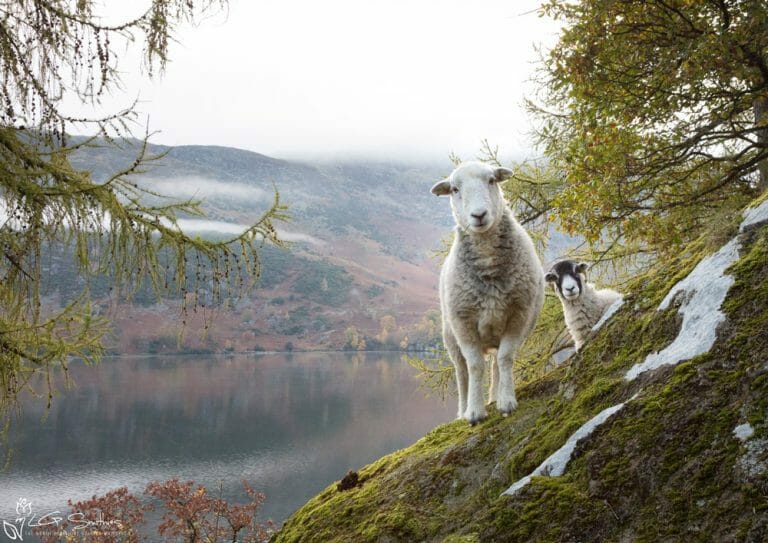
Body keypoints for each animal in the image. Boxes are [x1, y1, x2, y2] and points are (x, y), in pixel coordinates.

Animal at [431, 161, 545, 424]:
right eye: (454, 189)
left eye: (492, 180)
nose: (479, 215)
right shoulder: (464, 322)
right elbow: (474, 367)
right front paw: (474, 411)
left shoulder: (518, 315)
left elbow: (505, 359)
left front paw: (507, 401)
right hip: (450, 335)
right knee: (461, 372)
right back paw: (462, 410)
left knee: (495, 364)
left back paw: (494, 397)